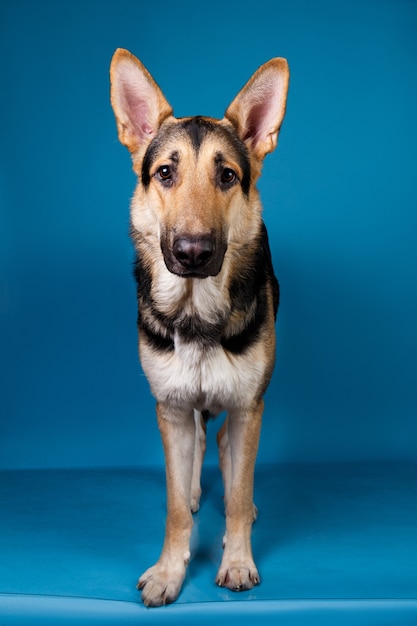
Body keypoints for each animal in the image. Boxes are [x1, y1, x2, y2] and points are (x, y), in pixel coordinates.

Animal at [109, 48, 288, 604]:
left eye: (227, 176)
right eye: (166, 173)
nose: (193, 253)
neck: (195, 316)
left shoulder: (249, 406)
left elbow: (238, 494)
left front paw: (237, 560)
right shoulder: (169, 407)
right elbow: (171, 506)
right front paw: (170, 570)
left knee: (229, 452)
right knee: (199, 449)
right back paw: (191, 488)